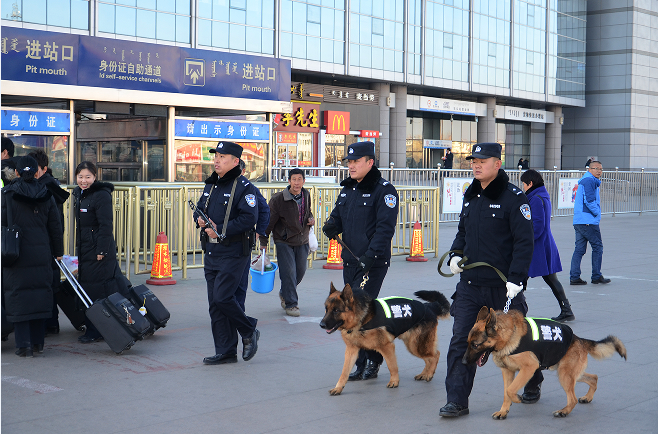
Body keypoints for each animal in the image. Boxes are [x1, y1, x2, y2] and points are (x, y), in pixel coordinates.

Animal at [320, 284, 452, 396]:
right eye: (326, 309)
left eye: (336, 310)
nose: (321, 325)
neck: (361, 319)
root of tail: (428, 307)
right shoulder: (351, 351)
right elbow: (344, 372)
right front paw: (338, 388)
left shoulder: (387, 347)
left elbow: (392, 365)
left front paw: (394, 381)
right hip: (414, 345)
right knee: (429, 358)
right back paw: (424, 374)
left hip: (415, 346)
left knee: (435, 355)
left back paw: (429, 374)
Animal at [462, 306, 624, 418]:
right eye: (468, 343)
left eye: (475, 345)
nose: (463, 362)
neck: (508, 336)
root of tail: (578, 339)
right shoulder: (508, 372)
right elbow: (505, 392)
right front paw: (503, 411)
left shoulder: (529, 368)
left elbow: (510, 390)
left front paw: (517, 399)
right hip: (568, 373)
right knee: (593, 378)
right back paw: (588, 397)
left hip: (564, 375)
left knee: (572, 399)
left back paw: (563, 412)